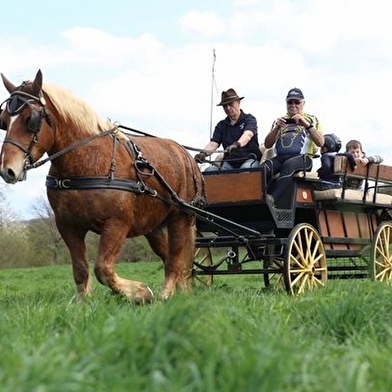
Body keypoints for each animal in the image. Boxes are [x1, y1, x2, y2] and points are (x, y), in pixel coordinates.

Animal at [0, 69, 207, 304]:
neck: (87, 162)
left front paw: (141, 292)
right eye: (4, 121)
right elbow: (81, 269)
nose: (8, 170)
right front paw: (83, 304)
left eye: (30, 119)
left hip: (180, 218)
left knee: (174, 261)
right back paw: (183, 292)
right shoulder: (68, 226)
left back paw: (165, 294)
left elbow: (103, 269)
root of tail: (184, 154)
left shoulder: (117, 224)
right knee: (171, 259)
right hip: (153, 227)